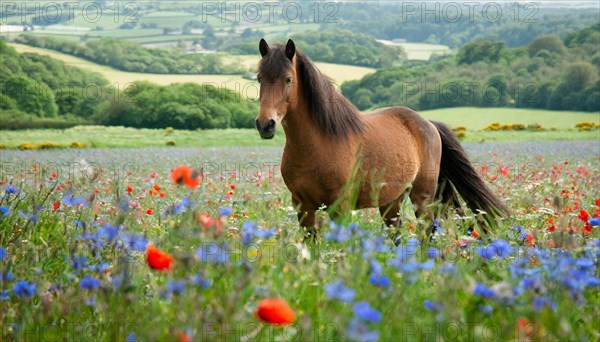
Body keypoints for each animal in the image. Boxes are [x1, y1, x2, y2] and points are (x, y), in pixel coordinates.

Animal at [255, 38, 508, 239]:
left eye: (288, 79)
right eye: (259, 79)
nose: (265, 125)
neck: (317, 144)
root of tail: (429, 124)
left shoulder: (341, 207)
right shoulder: (303, 207)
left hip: (422, 197)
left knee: (427, 233)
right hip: (391, 202)